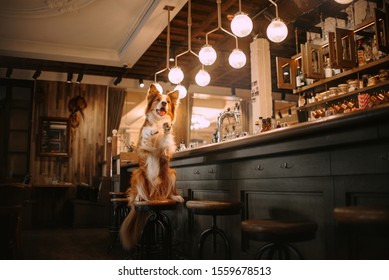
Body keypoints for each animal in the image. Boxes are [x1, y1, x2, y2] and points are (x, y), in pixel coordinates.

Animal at [119, 83, 184, 249]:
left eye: (168, 101)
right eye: (158, 99)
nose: (164, 103)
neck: (158, 121)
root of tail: (155, 196)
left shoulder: (165, 153)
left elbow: (166, 141)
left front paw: (166, 128)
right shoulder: (142, 149)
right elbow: (147, 134)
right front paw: (153, 130)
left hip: (171, 173)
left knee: (168, 192)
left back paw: (175, 196)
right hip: (138, 173)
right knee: (139, 193)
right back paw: (140, 197)